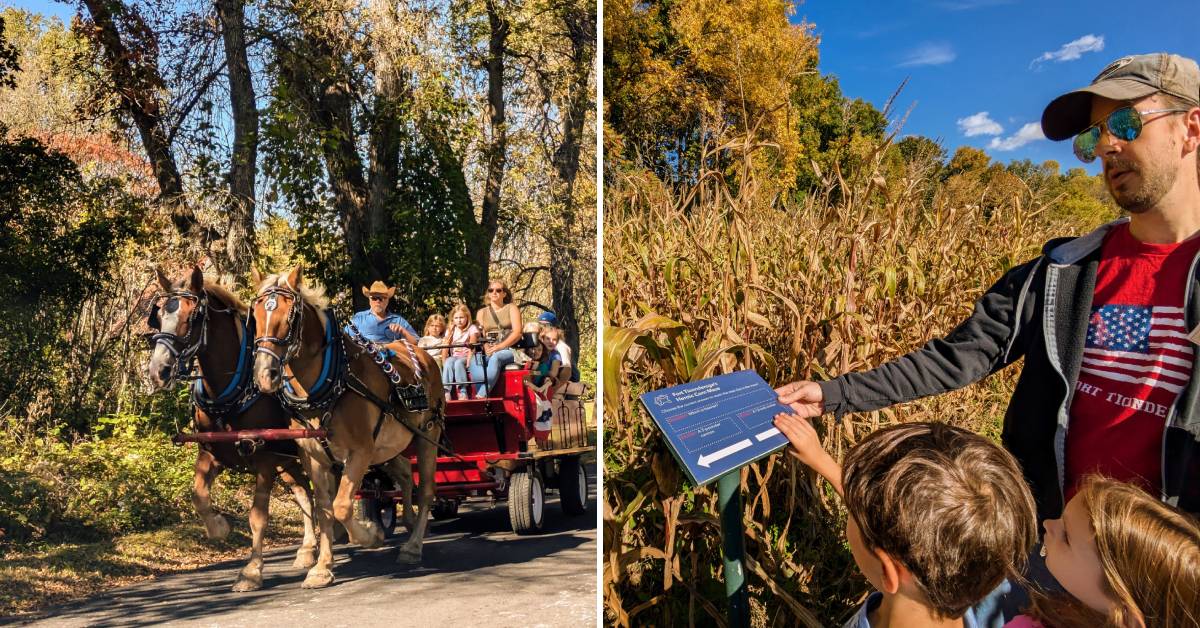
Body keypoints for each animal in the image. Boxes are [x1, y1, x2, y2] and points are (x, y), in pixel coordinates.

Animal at [145, 265, 319, 590]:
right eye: (159, 316)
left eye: (191, 318)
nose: (157, 371)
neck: (230, 391)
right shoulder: (211, 452)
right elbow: (198, 496)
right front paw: (219, 527)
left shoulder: (265, 458)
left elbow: (258, 516)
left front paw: (251, 571)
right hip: (291, 458)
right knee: (304, 491)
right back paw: (307, 549)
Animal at [248, 266, 446, 590]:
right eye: (255, 315)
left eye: (290, 317)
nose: (266, 374)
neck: (333, 383)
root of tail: (424, 354)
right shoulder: (314, 457)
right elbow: (325, 509)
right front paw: (321, 568)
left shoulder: (360, 452)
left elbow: (341, 506)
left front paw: (370, 536)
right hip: (389, 446)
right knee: (406, 473)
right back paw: (407, 521)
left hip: (428, 434)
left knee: (427, 489)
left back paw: (413, 545)